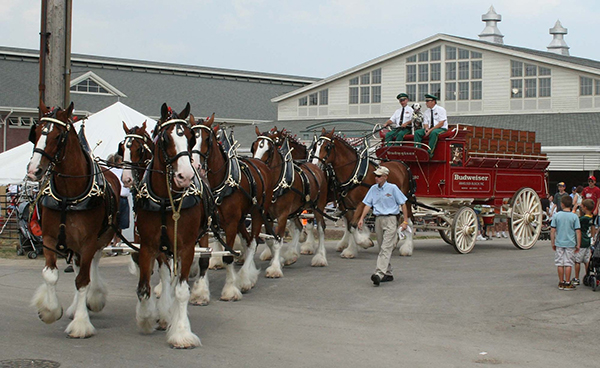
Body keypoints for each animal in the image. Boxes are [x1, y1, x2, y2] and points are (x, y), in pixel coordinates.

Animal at [27, 100, 120, 336]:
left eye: (58, 136)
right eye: (36, 132)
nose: (34, 170)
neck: (68, 196)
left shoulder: (88, 241)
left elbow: (83, 280)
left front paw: (81, 323)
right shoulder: (49, 239)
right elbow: (51, 275)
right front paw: (50, 311)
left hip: (102, 237)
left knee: (92, 265)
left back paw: (92, 299)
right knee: (78, 267)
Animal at [132, 103, 207, 348]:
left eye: (191, 138)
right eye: (165, 139)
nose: (185, 176)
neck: (167, 200)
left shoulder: (187, 247)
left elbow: (182, 291)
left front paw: (181, 332)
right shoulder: (147, 245)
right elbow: (144, 288)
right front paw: (147, 318)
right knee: (165, 275)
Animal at [190, 115, 272, 302]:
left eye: (207, 138)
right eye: (191, 137)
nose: (195, 165)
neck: (219, 184)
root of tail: (260, 163)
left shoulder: (230, 224)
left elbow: (228, 257)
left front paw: (230, 290)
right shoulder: (206, 224)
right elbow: (204, 258)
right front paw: (200, 293)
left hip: (257, 213)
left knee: (253, 242)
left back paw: (246, 279)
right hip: (241, 220)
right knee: (248, 241)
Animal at [252, 127, 330, 274]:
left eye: (269, 150)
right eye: (253, 147)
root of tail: (316, 167)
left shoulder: (282, 215)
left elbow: (278, 240)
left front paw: (275, 268)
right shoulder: (267, 215)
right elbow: (270, 240)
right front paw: (279, 260)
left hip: (318, 207)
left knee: (321, 229)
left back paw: (320, 257)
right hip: (295, 211)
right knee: (299, 227)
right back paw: (291, 255)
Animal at [312, 128, 414, 258]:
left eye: (327, 146)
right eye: (315, 146)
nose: (315, 165)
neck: (354, 173)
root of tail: (402, 164)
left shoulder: (362, 202)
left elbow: (354, 225)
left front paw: (364, 242)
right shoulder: (348, 206)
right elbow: (351, 226)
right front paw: (352, 249)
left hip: (406, 200)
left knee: (409, 221)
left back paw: (407, 248)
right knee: (395, 219)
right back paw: (392, 244)